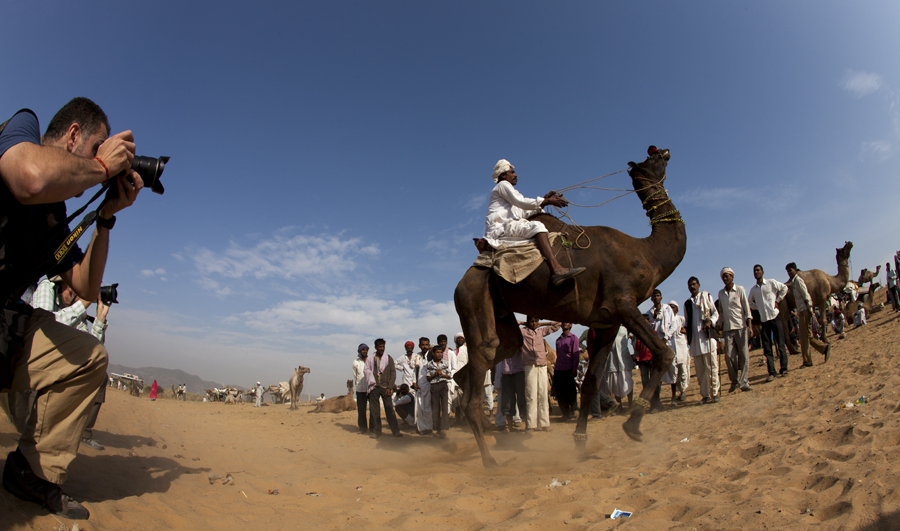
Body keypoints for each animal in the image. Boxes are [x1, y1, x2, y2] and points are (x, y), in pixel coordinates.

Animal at [454, 147, 685, 467]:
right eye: (651, 159)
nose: (664, 150)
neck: (648, 254)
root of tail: (460, 284)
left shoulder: (607, 321)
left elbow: (591, 382)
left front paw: (580, 443)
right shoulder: (623, 304)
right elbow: (665, 353)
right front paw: (633, 425)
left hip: (499, 312)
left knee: (489, 356)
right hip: (474, 297)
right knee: (481, 366)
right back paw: (489, 461)